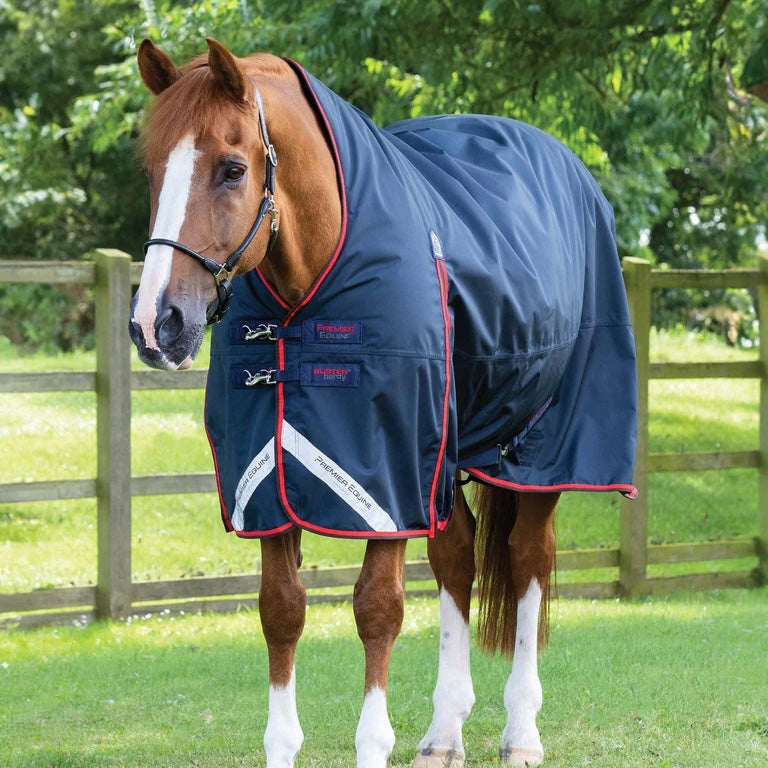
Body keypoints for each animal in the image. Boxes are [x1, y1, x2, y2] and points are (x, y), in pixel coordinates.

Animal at [129, 38, 637, 768]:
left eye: (231, 169)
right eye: (149, 169)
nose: (156, 324)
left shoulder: (388, 480)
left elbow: (377, 609)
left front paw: (374, 742)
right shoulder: (271, 483)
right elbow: (281, 609)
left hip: (539, 455)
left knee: (527, 561)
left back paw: (520, 732)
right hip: (445, 460)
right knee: (458, 557)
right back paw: (445, 733)